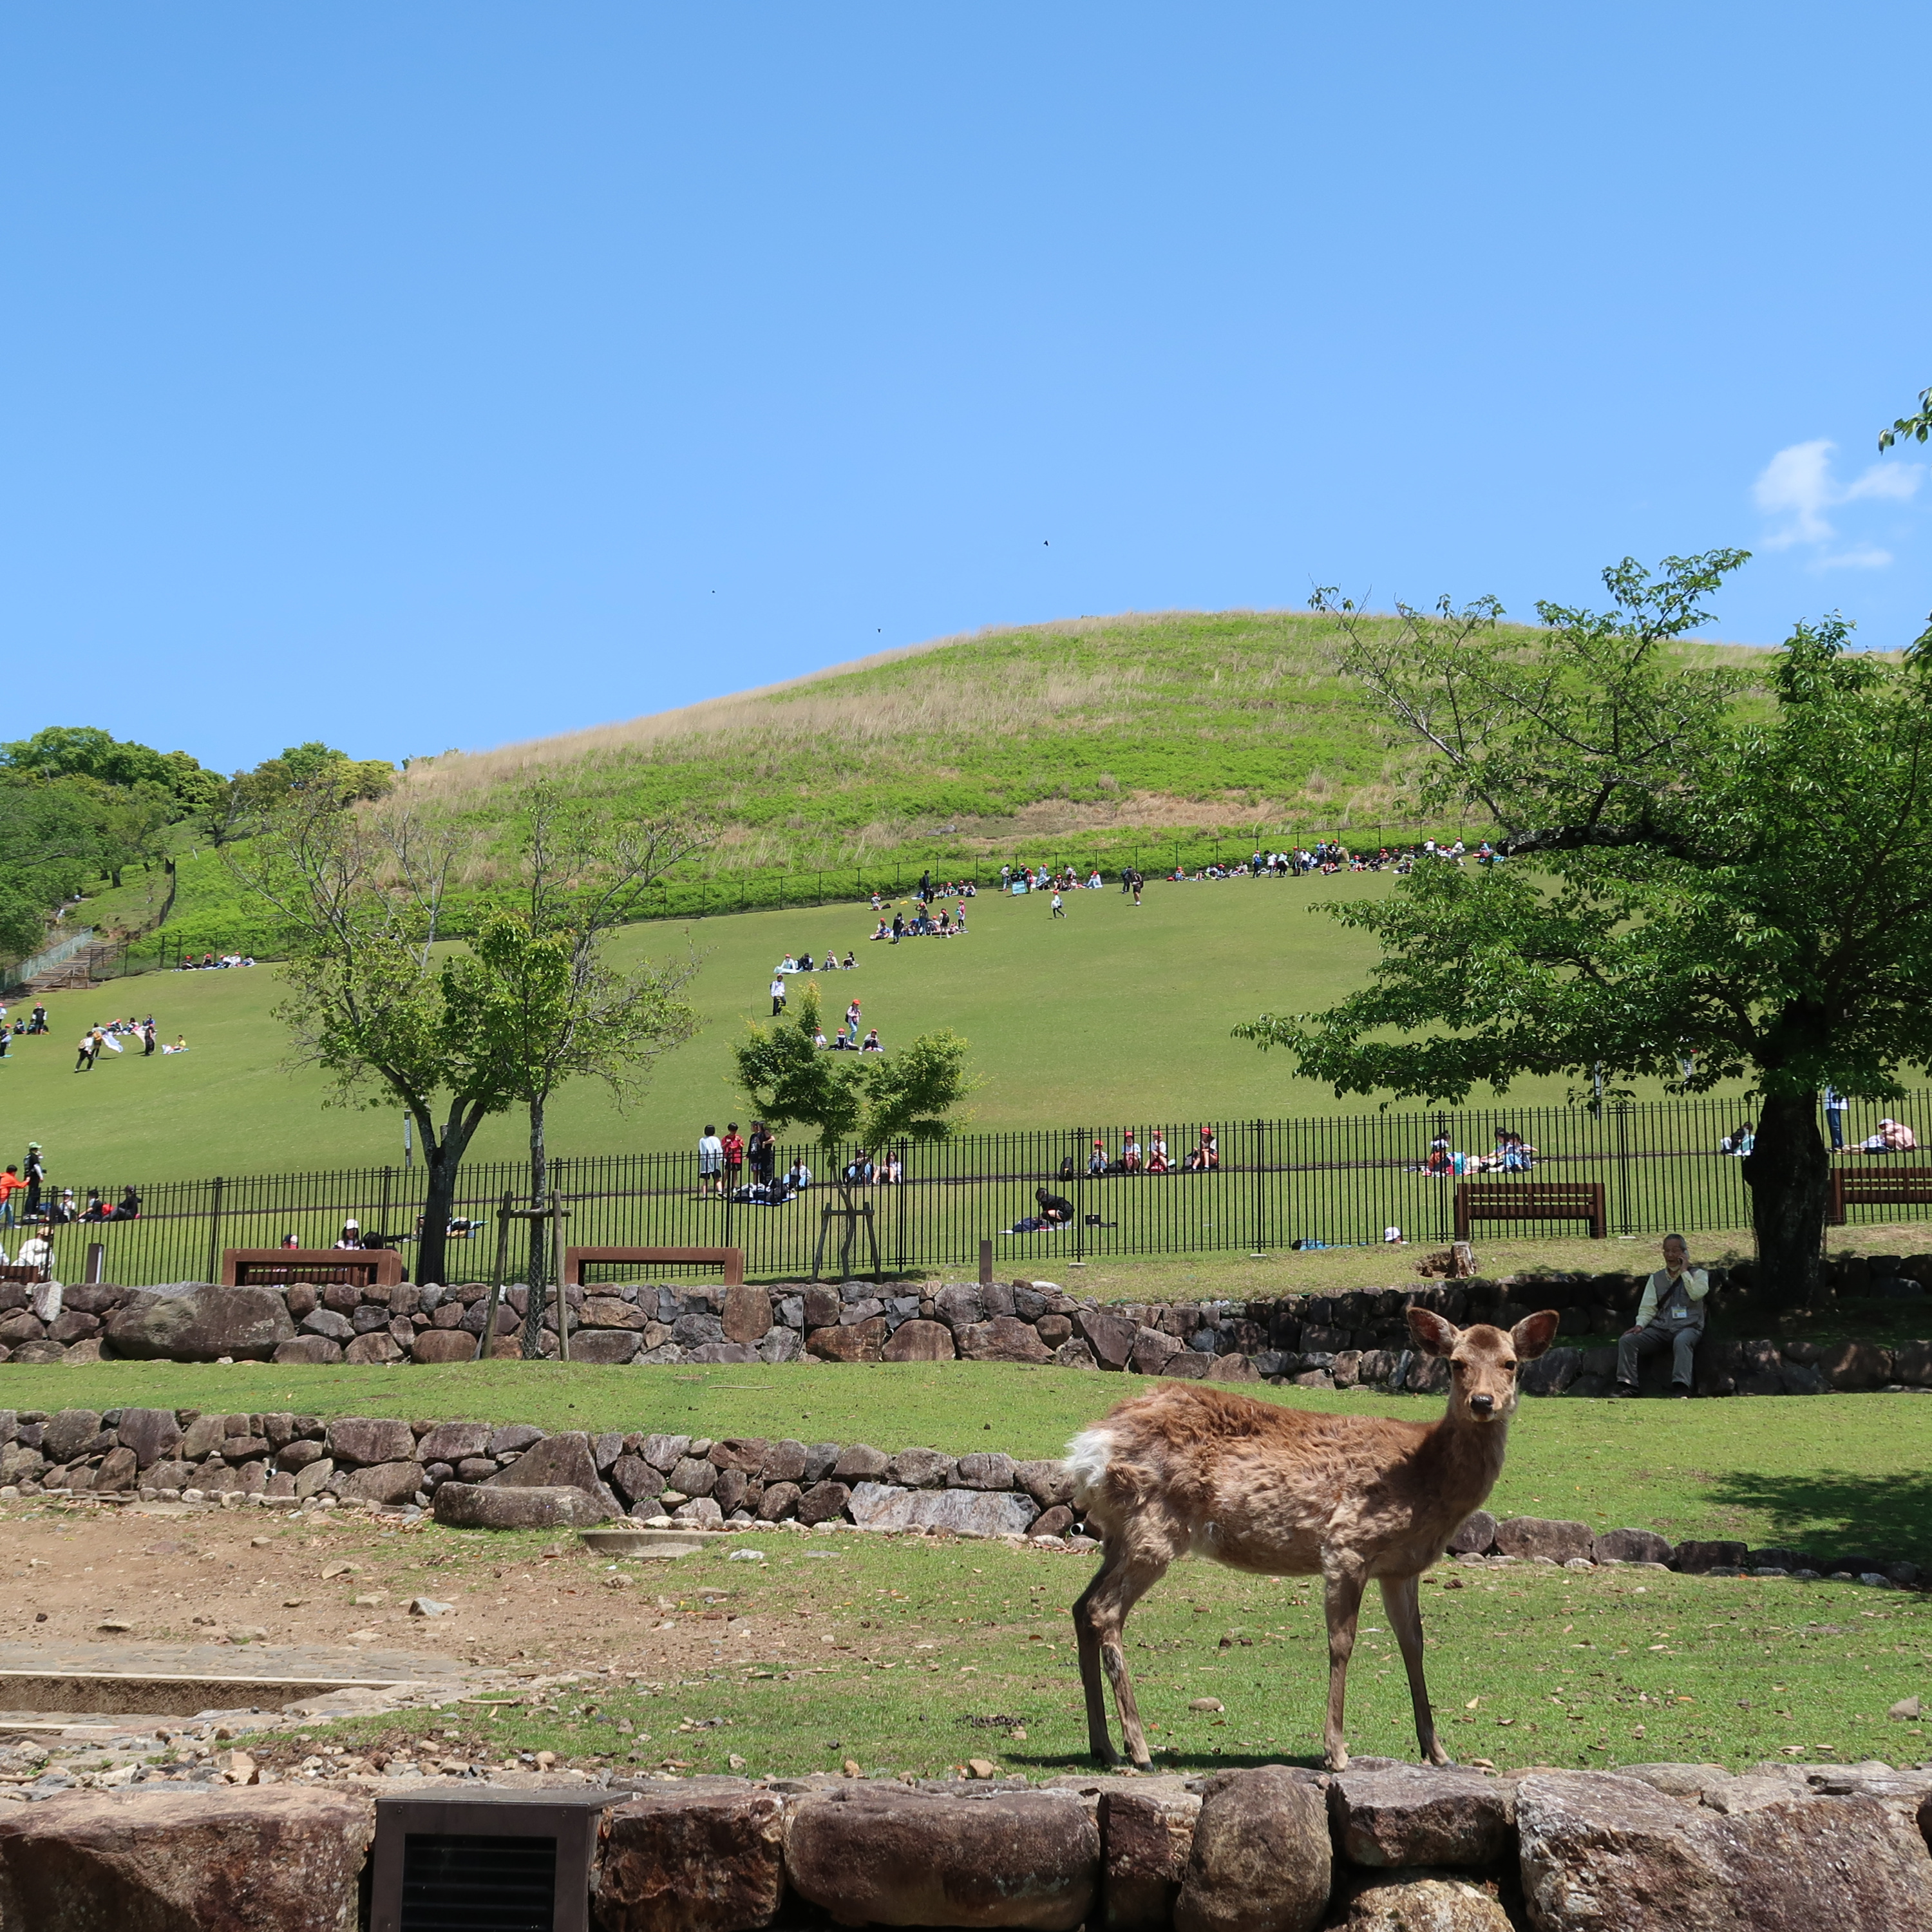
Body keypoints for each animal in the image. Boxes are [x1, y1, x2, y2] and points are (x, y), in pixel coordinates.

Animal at [1065, 1305, 1560, 1772]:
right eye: (1457, 1363)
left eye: (1511, 1363)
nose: (1483, 1401)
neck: (1425, 1477)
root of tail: (1088, 1449)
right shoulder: (1347, 1544)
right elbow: (1342, 1642)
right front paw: (1335, 1751)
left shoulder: (1401, 1567)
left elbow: (1414, 1642)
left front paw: (1437, 1752)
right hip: (1154, 1524)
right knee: (1104, 1610)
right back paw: (1140, 1749)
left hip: (1119, 1533)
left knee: (1081, 1607)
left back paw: (1104, 1747)